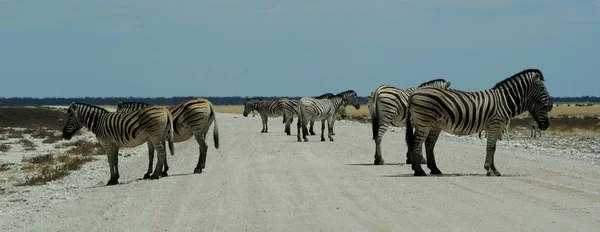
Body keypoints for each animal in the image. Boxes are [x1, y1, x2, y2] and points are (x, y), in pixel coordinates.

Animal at [406, 68, 552, 176]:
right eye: (543, 89)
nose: (546, 126)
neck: (504, 101)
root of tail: (414, 94)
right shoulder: (494, 125)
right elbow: (490, 147)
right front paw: (489, 170)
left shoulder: (498, 127)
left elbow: (494, 148)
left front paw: (494, 169)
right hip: (425, 121)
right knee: (417, 142)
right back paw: (419, 171)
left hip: (431, 123)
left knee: (426, 143)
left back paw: (433, 169)